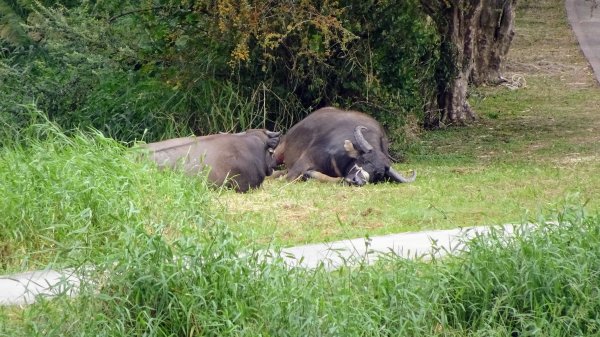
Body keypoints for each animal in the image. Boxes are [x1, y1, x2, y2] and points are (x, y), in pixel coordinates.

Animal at [274, 106, 414, 185]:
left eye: (379, 174)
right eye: (364, 160)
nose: (357, 181)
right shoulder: (306, 158)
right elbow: (290, 177)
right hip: (279, 150)